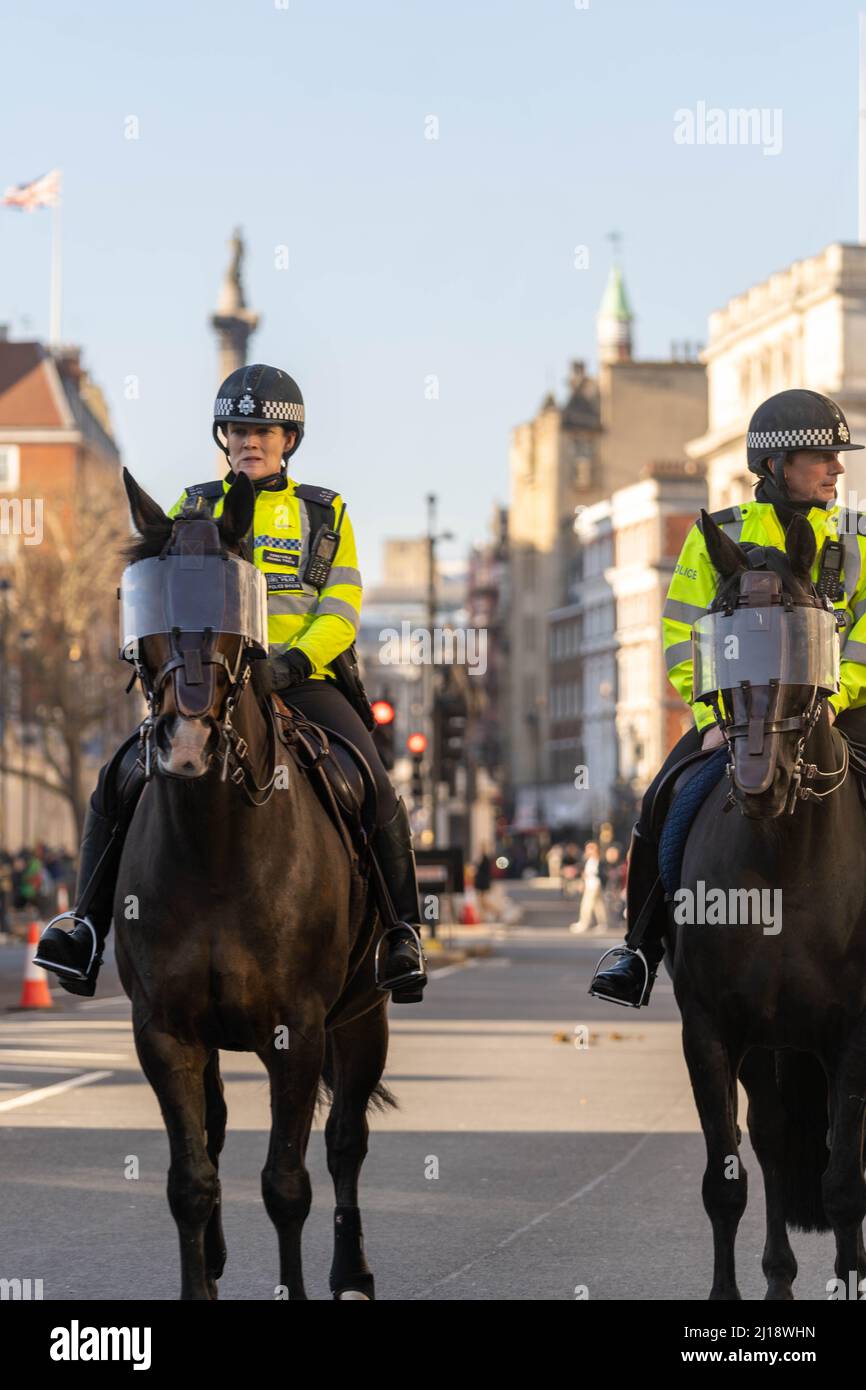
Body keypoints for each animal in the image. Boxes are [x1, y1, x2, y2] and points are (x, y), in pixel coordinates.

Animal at [116, 472, 394, 1295]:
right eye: (148, 604)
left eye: (234, 607)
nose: (186, 746)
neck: (216, 852)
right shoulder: (164, 1031)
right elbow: (192, 1178)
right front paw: (198, 1276)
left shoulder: (298, 1031)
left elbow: (286, 1184)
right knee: (214, 1134)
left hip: (363, 1015)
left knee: (345, 1141)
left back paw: (351, 1270)